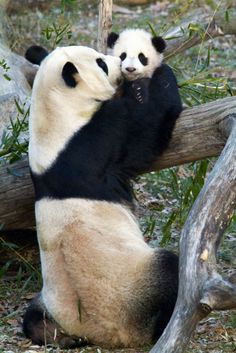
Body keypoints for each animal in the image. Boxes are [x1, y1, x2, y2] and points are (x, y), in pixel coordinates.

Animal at [23, 44, 180, 346]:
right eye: (101, 63)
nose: (120, 63)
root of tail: (100, 333)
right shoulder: (95, 142)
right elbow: (145, 128)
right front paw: (157, 77)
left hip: (53, 305)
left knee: (32, 321)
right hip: (132, 287)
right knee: (168, 270)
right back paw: (161, 327)